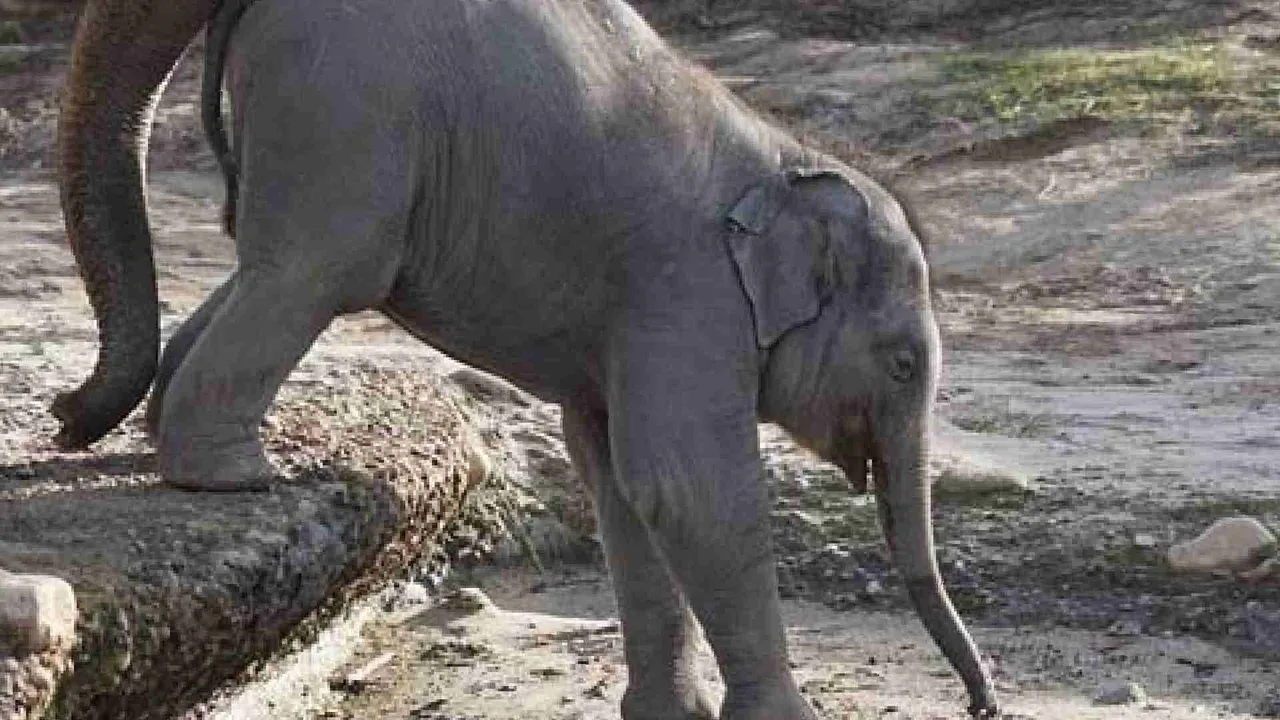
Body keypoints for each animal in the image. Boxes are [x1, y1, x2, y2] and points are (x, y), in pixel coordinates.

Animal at [53, 0, 999, 716]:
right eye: (904, 365)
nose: (982, 703)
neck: (792, 161)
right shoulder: (686, 298)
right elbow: (689, 487)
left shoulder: (633, 326)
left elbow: (620, 480)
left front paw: (669, 715)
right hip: (346, 109)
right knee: (317, 269)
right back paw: (232, 479)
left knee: (272, 267)